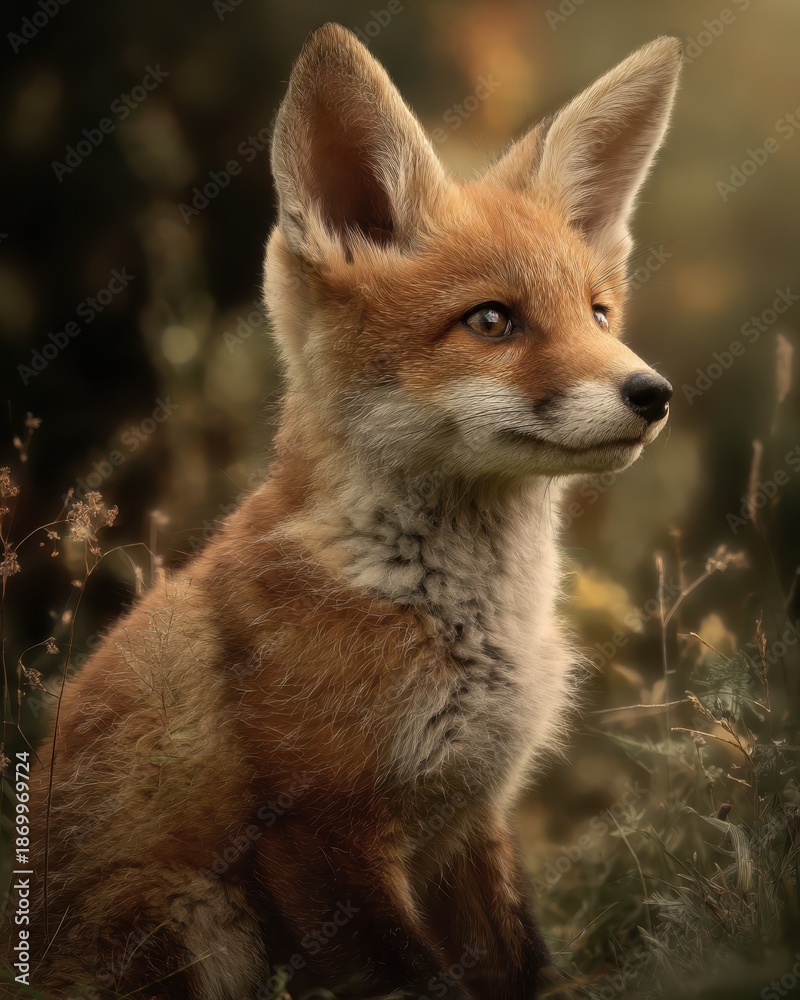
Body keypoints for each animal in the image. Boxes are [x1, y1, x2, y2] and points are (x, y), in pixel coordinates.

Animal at [20, 23, 681, 1000]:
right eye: (493, 321)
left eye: (598, 314)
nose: (653, 393)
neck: (463, 623)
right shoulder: (319, 832)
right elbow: (417, 980)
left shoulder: (470, 818)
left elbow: (520, 966)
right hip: (193, 914)